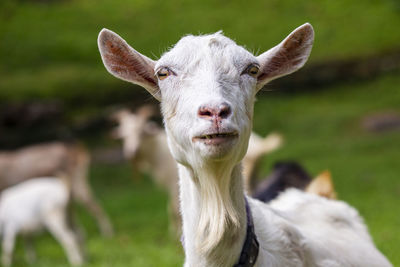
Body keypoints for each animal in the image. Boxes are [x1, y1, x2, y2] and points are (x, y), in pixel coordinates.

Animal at [111, 105, 282, 236]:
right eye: (124, 135)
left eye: (141, 132)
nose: (131, 152)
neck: (157, 151)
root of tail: (260, 146)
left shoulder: (173, 184)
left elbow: (173, 208)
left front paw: (175, 233)